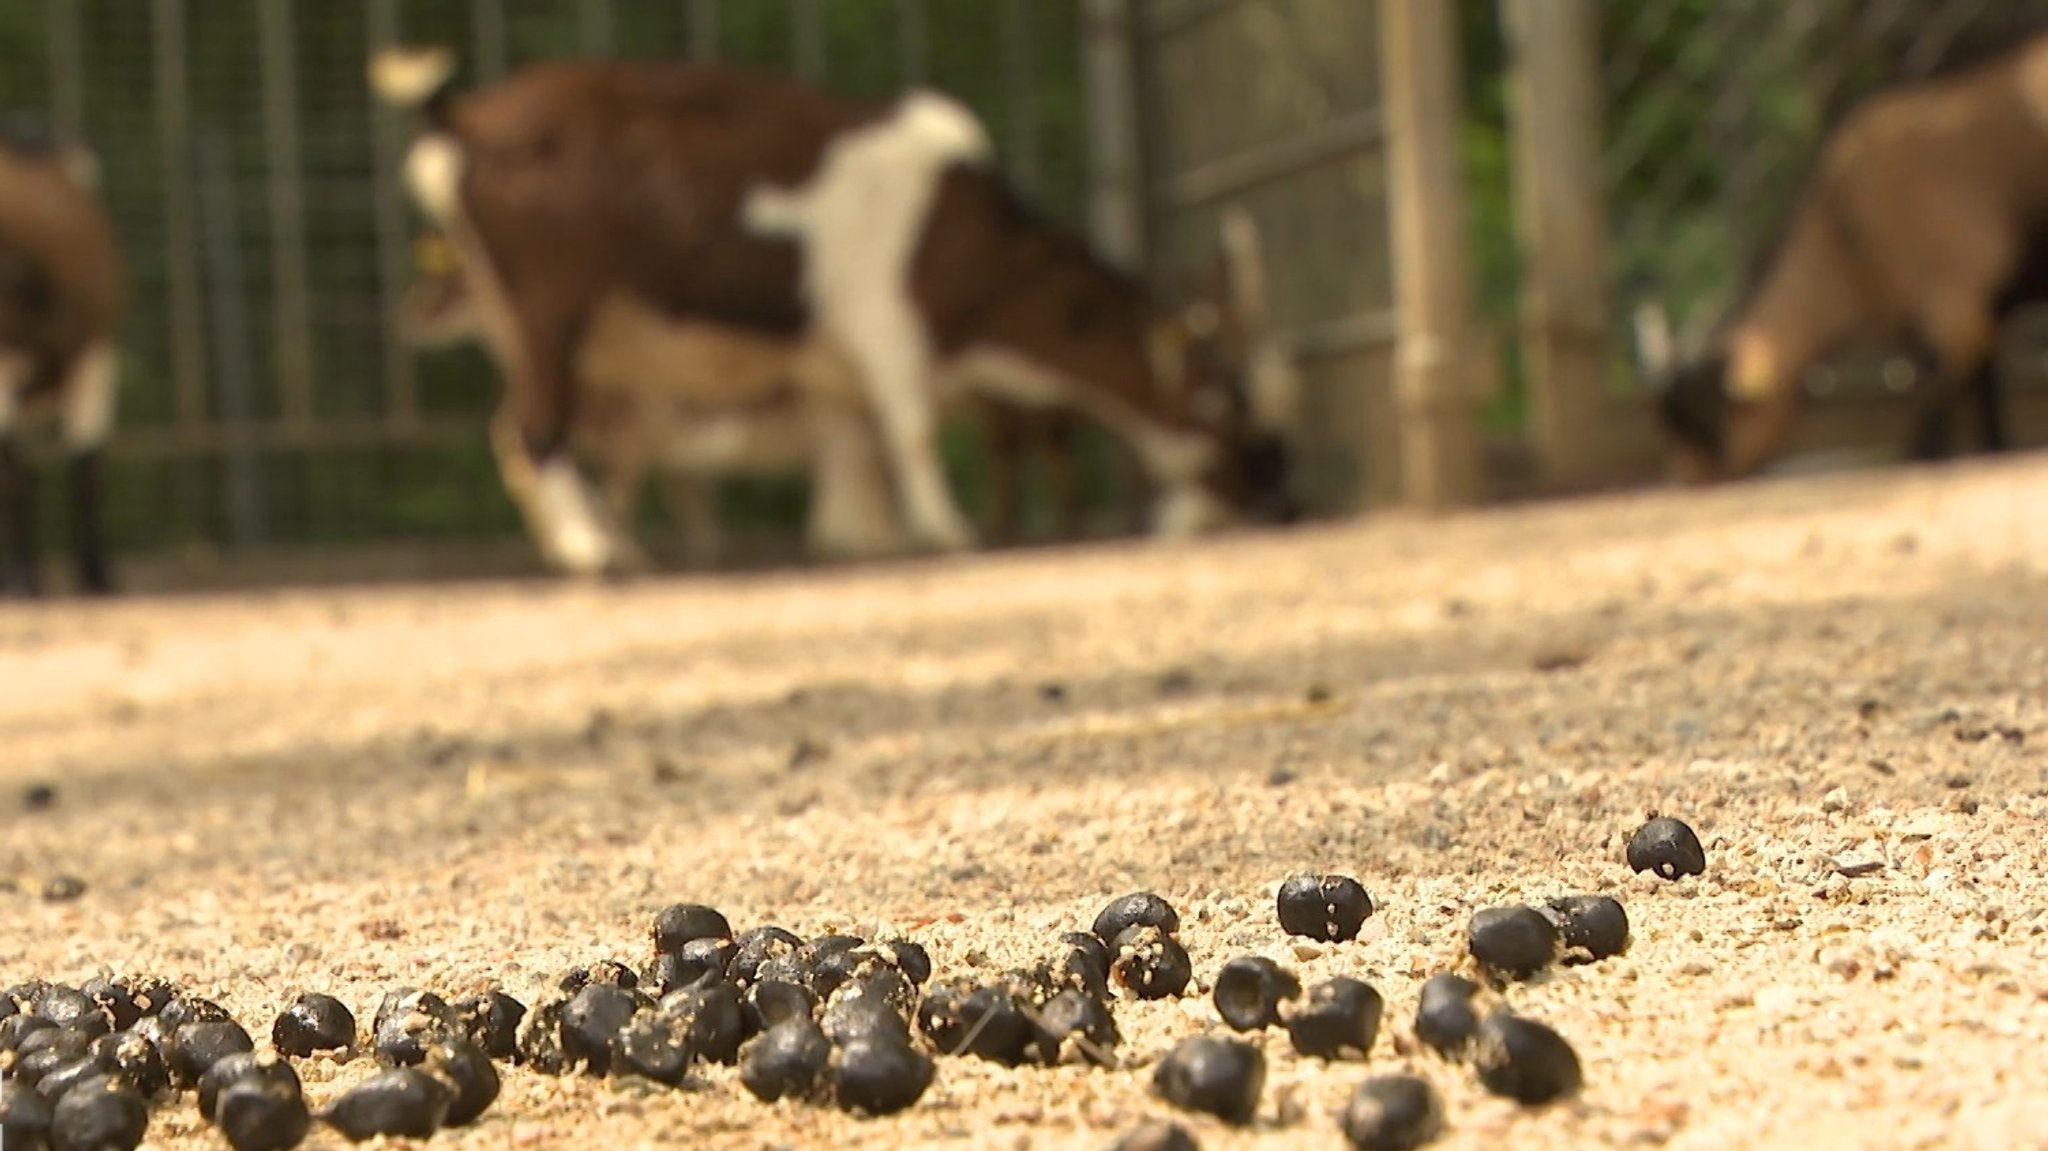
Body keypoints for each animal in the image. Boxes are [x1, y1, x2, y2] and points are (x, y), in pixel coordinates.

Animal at [370, 49, 1294, 577]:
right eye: (1227, 398)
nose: (1280, 494)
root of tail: (464, 113)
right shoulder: (885, 321)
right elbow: (909, 430)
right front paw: (946, 528)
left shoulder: (835, 363)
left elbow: (858, 445)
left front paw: (863, 537)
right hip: (548, 306)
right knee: (533, 430)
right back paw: (592, 550)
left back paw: (611, 541)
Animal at [1646, 31, 2048, 479]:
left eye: (1710, 431)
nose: (1689, 483)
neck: (1842, 228)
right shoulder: (1982, 316)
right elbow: (1990, 413)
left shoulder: (1952, 302)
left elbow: (1928, 433)